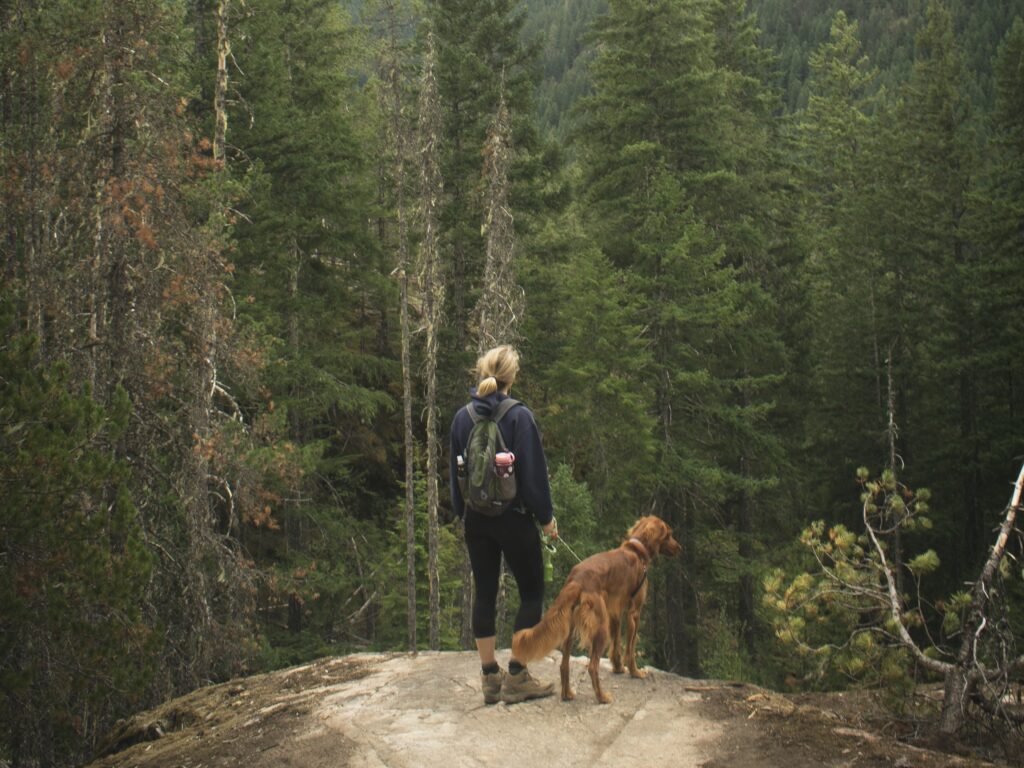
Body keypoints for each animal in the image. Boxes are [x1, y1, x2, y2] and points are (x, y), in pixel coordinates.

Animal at [509, 518, 679, 704]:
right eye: (669, 534)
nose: (679, 548)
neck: (636, 550)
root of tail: (576, 580)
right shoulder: (634, 612)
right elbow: (630, 648)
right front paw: (636, 672)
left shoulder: (614, 613)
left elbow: (616, 645)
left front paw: (618, 667)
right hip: (599, 627)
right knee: (592, 666)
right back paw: (602, 697)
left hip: (571, 628)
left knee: (564, 665)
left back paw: (567, 694)